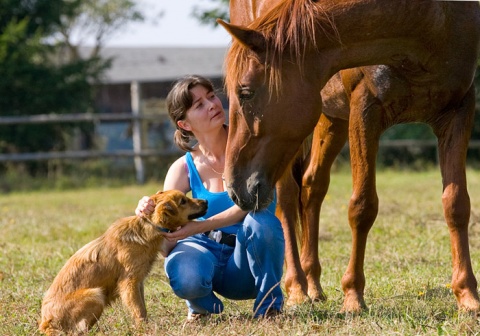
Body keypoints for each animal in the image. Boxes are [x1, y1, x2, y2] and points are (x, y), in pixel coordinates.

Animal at [38, 190, 207, 334]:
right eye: (183, 201)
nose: (205, 201)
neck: (146, 228)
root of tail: (46, 323)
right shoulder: (129, 283)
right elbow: (138, 310)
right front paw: (144, 329)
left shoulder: (138, 282)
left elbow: (142, 307)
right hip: (95, 294)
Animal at [220, 0, 480, 312]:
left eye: (245, 92)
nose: (233, 186)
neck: (429, 17)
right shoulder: (364, 107)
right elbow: (362, 206)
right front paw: (353, 295)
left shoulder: (459, 110)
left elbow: (456, 204)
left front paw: (467, 294)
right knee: (287, 203)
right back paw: (297, 288)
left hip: (331, 119)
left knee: (312, 187)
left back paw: (313, 284)